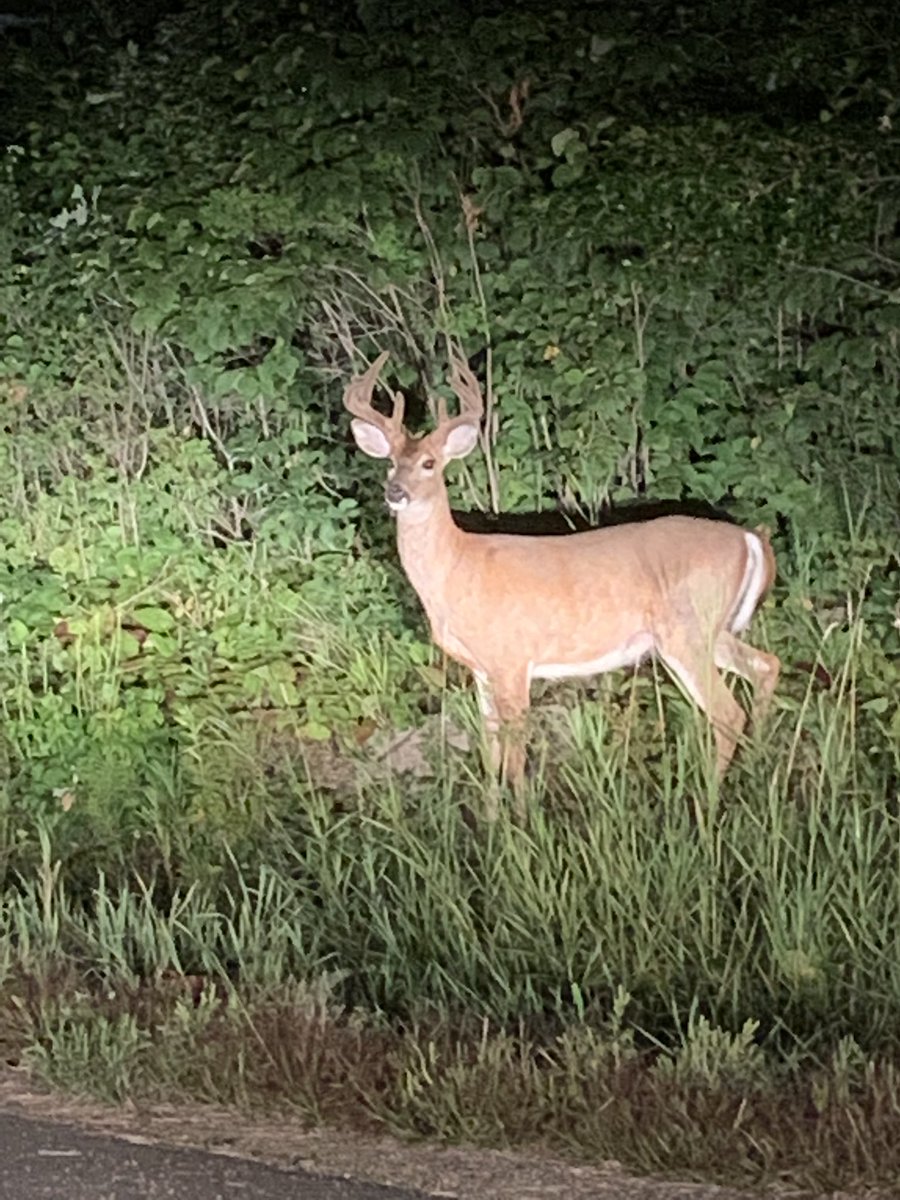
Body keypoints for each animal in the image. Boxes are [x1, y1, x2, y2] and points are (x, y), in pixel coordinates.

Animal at [345, 350, 782, 816]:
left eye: (429, 463)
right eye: (390, 461)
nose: (395, 492)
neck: (458, 569)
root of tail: (748, 538)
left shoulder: (512, 659)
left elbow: (515, 755)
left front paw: (522, 823)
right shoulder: (482, 669)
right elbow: (490, 748)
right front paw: (492, 819)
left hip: (686, 631)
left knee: (728, 713)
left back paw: (708, 802)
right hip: (710, 629)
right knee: (766, 666)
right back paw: (757, 765)